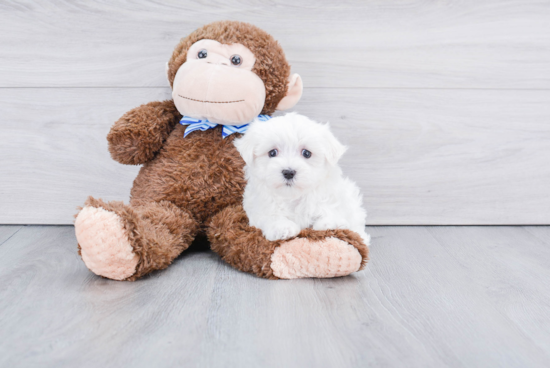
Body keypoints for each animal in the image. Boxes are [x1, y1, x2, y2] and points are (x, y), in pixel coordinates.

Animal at [235, 112, 374, 244]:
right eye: (272, 153)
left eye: (306, 153)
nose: (289, 172)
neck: (293, 196)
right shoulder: (260, 207)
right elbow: (270, 216)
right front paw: (282, 227)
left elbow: (330, 210)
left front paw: (329, 223)